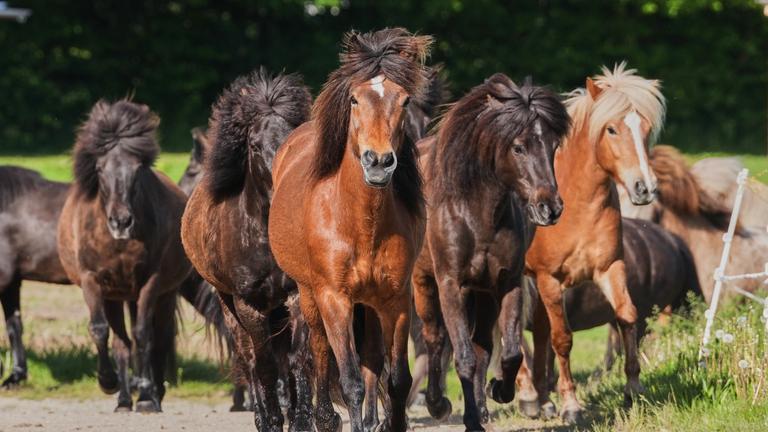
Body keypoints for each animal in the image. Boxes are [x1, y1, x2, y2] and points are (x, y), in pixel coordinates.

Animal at [57, 99, 191, 412]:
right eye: (99, 169)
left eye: (138, 169)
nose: (121, 222)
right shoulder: (92, 281)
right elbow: (100, 330)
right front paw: (108, 382)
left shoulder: (151, 282)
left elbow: (144, 335)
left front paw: (147, 396)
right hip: (117, 296)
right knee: (121, 342)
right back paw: (123, 399)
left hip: (164, 294)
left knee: (160, 338)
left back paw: (152, 392)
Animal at [181, 69, 313, 431]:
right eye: (254, 145)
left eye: (292, 139)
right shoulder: (248, 304)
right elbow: (263, 364)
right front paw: (271, 419)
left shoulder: (295, 295)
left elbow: (297, 359)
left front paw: (301, 419)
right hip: (230, 307)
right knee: (250, 359)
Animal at [269, 28, 432, 432]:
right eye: (355, 99)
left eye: (404, 100)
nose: (379, 162)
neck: (361, 223)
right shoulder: (335, 298)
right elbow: (350, 380)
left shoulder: (396, 299)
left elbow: (397, 378)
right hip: (310, 295)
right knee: (319, 350)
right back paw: (325, 418)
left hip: (370, 302)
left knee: (372, 356)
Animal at [411, 73, 569, 431]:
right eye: (519, 147)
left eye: (553, 146)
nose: (550, 208)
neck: (474, 213)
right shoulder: (451, 285)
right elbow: (462, 357)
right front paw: (464, 416)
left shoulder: (506, 282)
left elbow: (509, 352)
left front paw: (498, 391)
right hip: (424, 284)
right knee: (434, 339)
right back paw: (438, 403)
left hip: (482, 294)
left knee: (483, 344)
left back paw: (481, 406)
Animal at [524, 63, 666, 422]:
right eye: (612, 129)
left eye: (646, 128)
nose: (645, 188)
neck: (577, 205)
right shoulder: (550, 279)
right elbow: (562, 338)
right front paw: (572, 405)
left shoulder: (610, 268)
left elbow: (627, 317)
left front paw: (633, 389)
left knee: (538, 331)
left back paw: (543, 400)